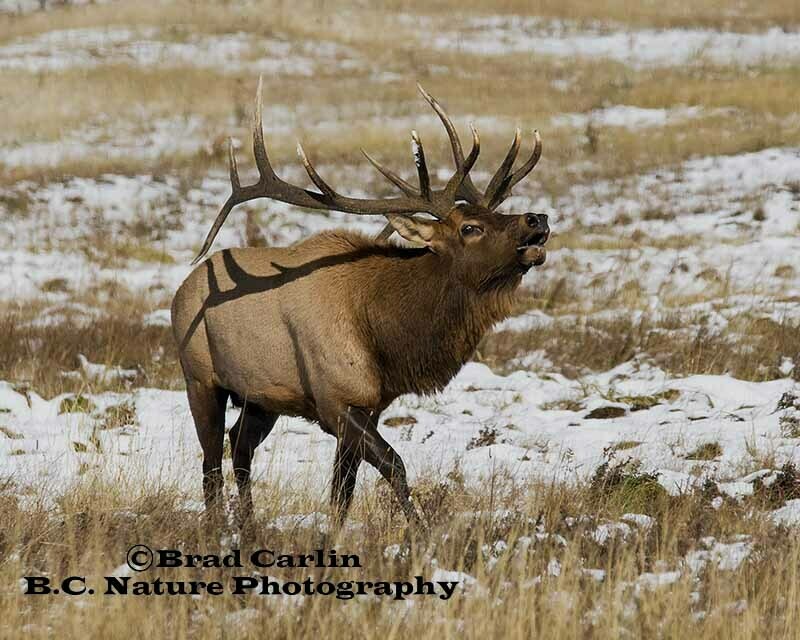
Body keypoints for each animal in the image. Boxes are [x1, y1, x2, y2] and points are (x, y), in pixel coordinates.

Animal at [171, 78, 550, 529]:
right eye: (469, 228)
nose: (537, 219)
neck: (385, 335)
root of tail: (182, 288)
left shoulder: (371, 405)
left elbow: (342, 490)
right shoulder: (334, 400)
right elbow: (394, 465)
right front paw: (419, 531)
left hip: (262, 394)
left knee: (240, 443)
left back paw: (249, 526)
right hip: (200, 378)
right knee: (211, 460)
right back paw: (219, 528)